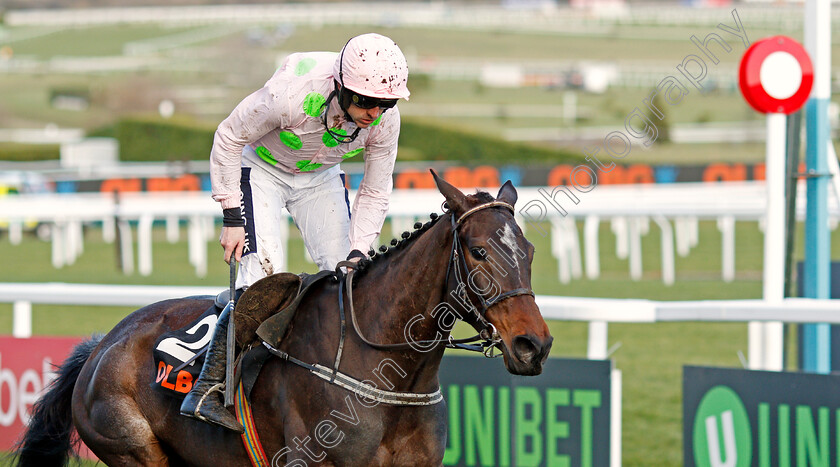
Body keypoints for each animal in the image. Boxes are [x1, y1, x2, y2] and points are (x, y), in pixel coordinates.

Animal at [14, 174, 552, 466]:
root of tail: (103, 343)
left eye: (528, 252)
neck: (388, 378)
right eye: (478, 252)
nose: (535, 345)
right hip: (132, 446)